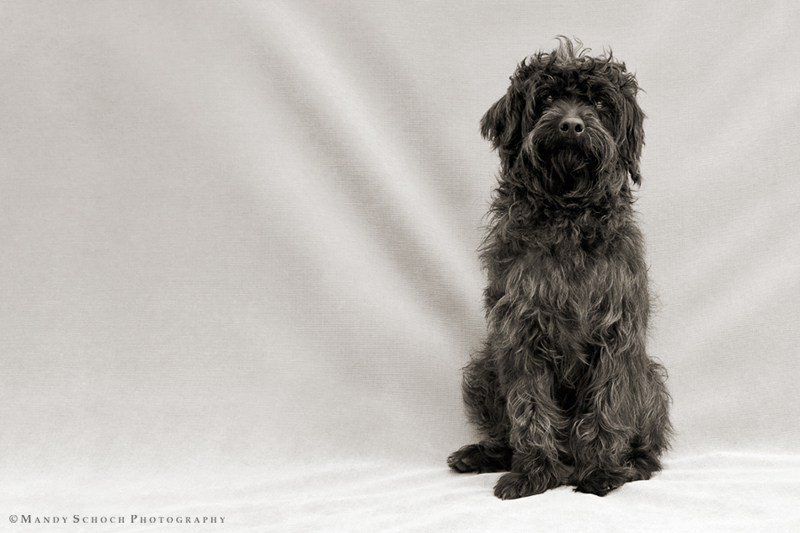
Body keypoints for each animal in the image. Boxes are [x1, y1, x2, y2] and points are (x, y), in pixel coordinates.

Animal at [448, 38, 671, 499]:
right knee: (504, 433)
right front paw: (535, 472)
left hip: (650, 377)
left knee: (647, 438)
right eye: (547, 98)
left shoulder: (616, 331)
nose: (571, 126)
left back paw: (633, 463)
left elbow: (607, 401)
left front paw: (601, 471)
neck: (567, 215)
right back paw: (483, 454)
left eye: (600, 103)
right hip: (483, 369)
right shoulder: (521, 330)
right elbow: (529, 406)